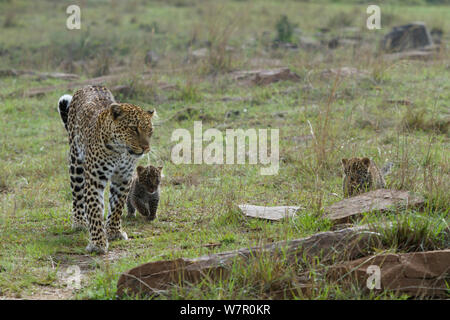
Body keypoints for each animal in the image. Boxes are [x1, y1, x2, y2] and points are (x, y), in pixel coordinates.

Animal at [57, 85, 156, 255]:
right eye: (134, 129)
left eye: (150, 131)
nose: (146, 148)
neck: (120, 152)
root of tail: (89, 86)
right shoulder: (95, 179)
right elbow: (94, 210)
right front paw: (98, 243)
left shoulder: (123, 178)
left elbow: (117, 207)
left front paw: (114, 232)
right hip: (76, 163)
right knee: (77, 196)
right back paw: (79, 222)